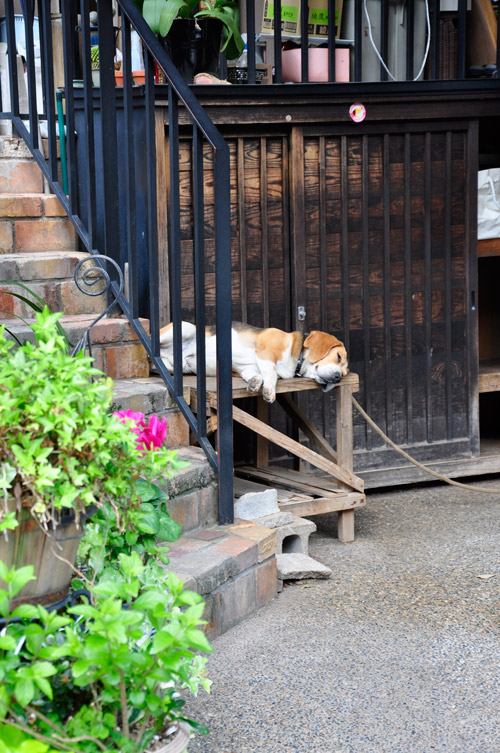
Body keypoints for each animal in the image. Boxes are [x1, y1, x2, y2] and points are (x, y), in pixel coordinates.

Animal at [160, 320, 348, 402]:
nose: (337, 377)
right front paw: (269, 391)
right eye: (338, 357)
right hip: (186, 327)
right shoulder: (265, 353)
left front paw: (254, 383)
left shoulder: (248, 368)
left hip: (176, 366)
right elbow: (271, 374)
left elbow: (258, 375)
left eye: (345, 374)